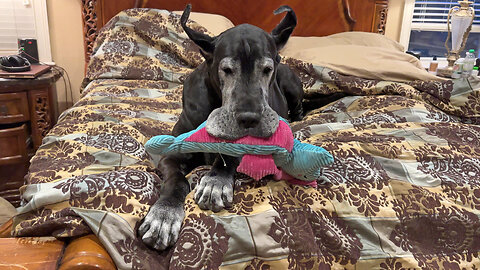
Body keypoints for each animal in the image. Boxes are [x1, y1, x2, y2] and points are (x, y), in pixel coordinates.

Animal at [139, 4, 304, 250]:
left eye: (267, 69)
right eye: (226, 69)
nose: (249, 118)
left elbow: (229, 156)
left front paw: (215, 181)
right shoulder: (171, 155)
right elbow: (176, 180)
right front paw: (164, 215)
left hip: (291, 83)